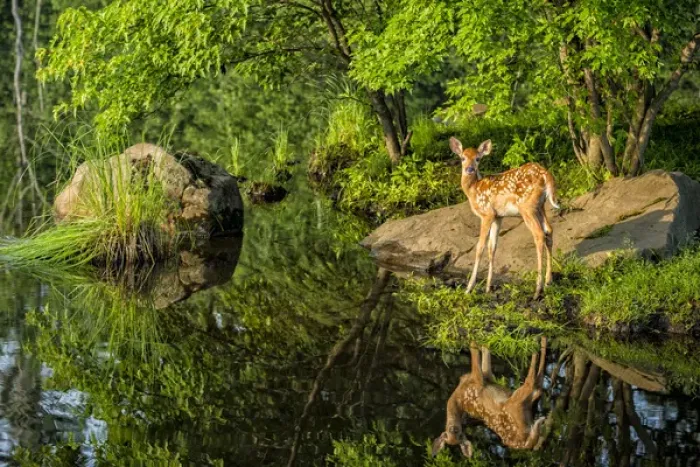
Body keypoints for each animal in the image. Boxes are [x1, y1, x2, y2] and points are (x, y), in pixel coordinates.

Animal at [449, 138, 559, 299]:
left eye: (478, 159)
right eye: (463, 158)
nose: (469, 169)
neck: (473, 190)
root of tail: (546, 175)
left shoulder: (486, 214)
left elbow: (480, 247)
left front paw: (469, 288)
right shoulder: (498, 217)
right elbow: (492, 247)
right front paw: (488, 287)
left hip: (526, 206)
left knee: (539, 234)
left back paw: (538, 289)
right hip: (540, 206)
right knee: (549, 230)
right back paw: (548, 281)